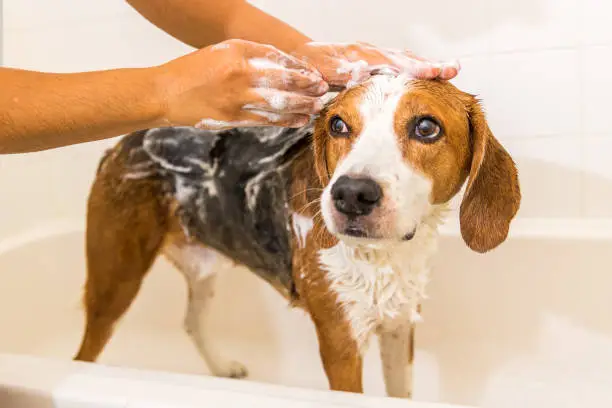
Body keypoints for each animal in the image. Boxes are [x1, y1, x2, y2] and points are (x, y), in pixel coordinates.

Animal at [73, 74, 520, 398]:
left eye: (426, 127)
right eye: (338, 125)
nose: (350, 194)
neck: (383, 257)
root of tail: (123, 143)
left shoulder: (398, 327)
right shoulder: (341, 344)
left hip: (203, 270)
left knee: (192, 322)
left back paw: (221, 368)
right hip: (115, 282)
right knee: (87, 348)